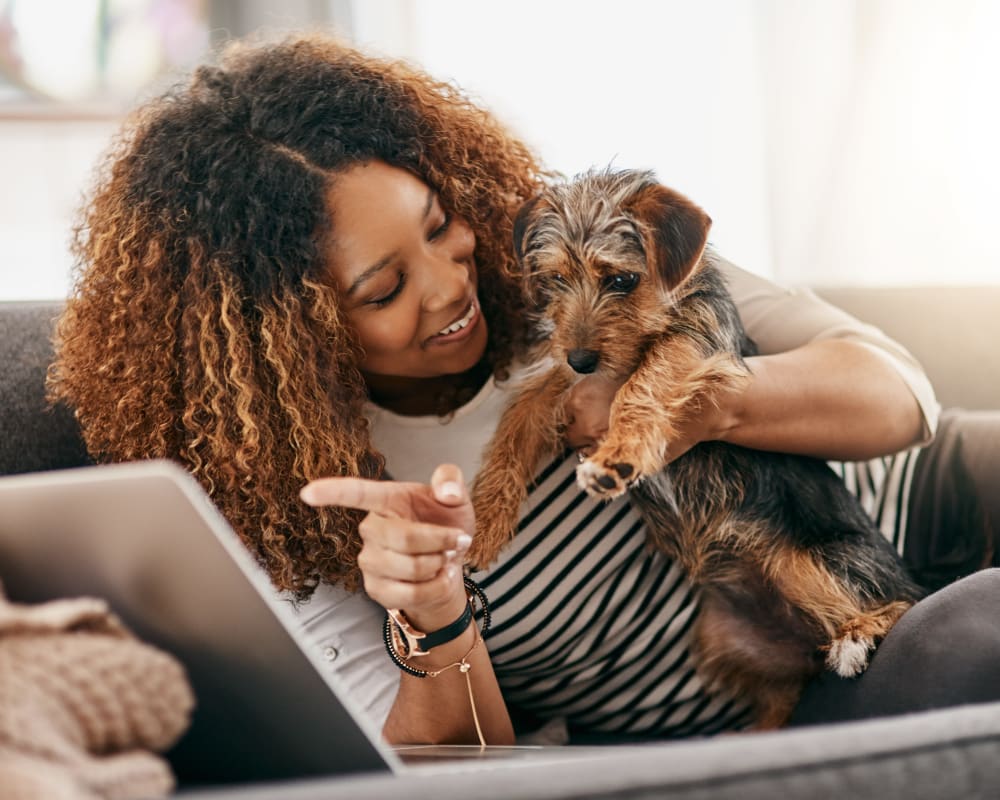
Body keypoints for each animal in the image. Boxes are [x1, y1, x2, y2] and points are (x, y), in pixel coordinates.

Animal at [468, 169, 920, 732]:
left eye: (621, 280)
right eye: (554, 280)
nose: (581, 359)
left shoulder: (697, 342)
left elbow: (650, 376)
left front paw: (618, 455)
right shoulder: (556, 388)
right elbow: (514, 426)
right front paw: (483, 525)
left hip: (810, 559)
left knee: (903, 603)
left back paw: (859, 635)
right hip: (721, 637)